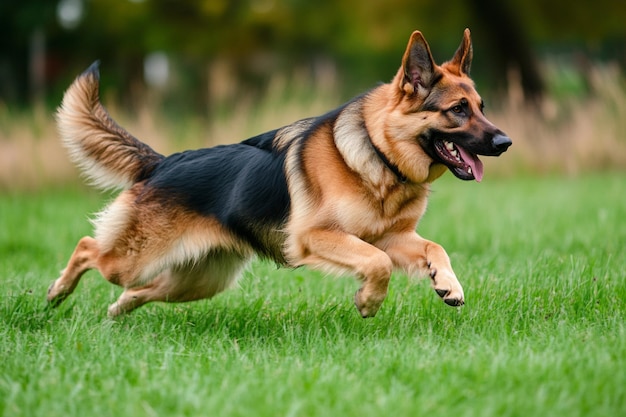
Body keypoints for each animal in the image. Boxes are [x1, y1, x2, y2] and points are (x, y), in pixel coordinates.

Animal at [47, 28, 508, 316]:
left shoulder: (394, 237)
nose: (505, 143)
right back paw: (57, 293)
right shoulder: (317, 237)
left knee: (137, 290)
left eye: (481, 106)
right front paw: (368, 302)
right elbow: (377, 263)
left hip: (196, 283)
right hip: (136, 260)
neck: (379, 157)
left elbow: (434, 248)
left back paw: (116, 311)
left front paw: (449, 285)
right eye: (458, 110)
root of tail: (162, 162)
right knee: (89, 248)